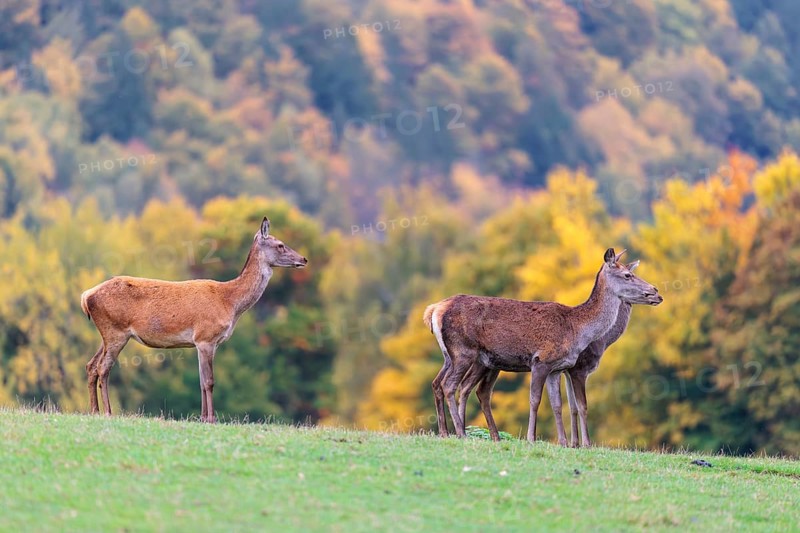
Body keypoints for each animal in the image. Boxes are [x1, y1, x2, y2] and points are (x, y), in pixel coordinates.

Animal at [80, 217, 307, 423]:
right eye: (280, 245)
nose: (304, 259)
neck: (230, 302)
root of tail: (86, 296)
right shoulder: (206, 337)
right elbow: (209, 381)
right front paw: (212, 419)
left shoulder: (202, 342)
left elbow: (201, 381)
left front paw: (202, 417)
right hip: (115, 331)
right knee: (103, 368)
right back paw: (108, 412)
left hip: (108, 334)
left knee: (91, 365)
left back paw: (95, 411)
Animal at [424, 248, 662, 443]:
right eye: (627, 275)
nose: (656, 292)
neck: (577, 329)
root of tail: (433, 310)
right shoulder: (542, 361)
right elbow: (536, 400)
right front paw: (533, 438)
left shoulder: (557, 368)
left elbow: (558, 404)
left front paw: (565, 443)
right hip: (463, 351)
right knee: (450, 385)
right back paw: (460, 433)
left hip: (460, 357)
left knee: (446, 384)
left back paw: (449, 433)